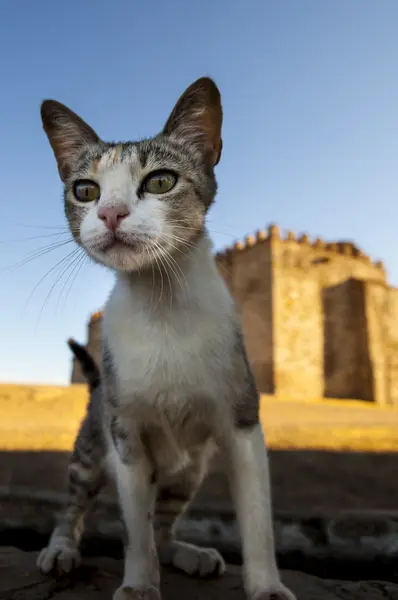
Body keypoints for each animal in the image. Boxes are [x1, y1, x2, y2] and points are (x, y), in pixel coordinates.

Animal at [36, 78, 296, 600]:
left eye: (160, 182)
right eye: (85, 190)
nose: (111, 213)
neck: (162, 310)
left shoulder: (243, 423)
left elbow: (256, 520)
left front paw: (266, 586)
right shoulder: (126, 436)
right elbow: (135, 530)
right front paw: (139, 584)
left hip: (189, 470)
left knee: (165, 522)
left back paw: (189, 553)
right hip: (91, 451)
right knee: (76, 505)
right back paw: (62, 548)